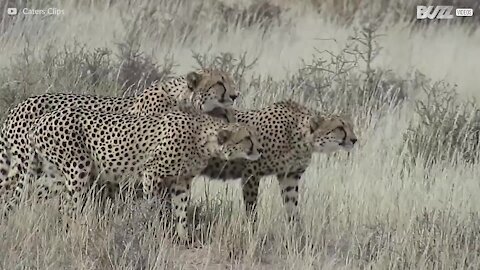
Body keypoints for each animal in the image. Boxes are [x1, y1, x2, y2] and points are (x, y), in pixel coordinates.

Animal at [15, 106, 258, 242]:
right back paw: (72, 230)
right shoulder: (151, 174)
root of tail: (40, 119)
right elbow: (154, 207)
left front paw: (184, 238)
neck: (202, 138)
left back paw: (26, 220)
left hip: (56, 176)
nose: (259, 150)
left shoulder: (181, 181)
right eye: (247, 138)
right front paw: (155, 231)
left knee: (33, 195)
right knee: (69, 206)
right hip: (78, 170)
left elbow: (181, 211)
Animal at [199, 99, 356, 221]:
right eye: (340, 127)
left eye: (351, 126)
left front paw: (297, 234)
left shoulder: (290, 176)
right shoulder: (251, 174)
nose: (355, 140)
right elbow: (251, 208)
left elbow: (292, 207)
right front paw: (251, 231)